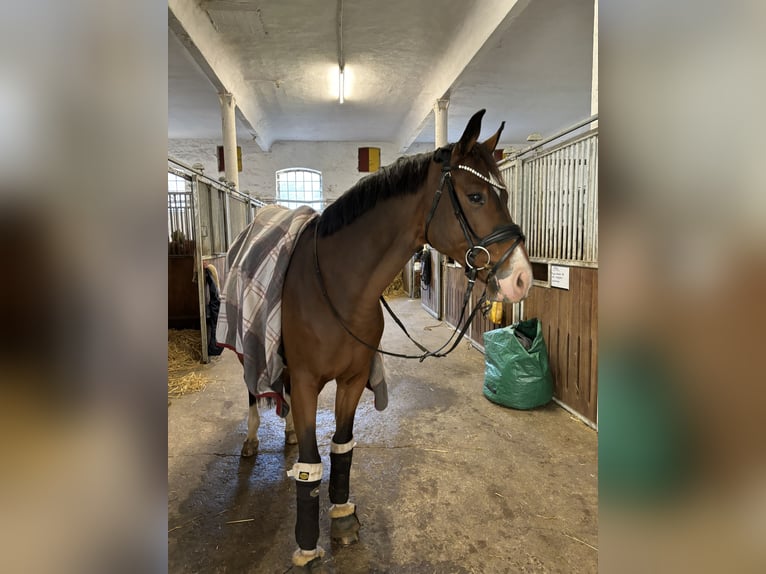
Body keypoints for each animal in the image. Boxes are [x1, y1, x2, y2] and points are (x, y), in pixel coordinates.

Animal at [276, 109, 536, 572]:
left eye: (504, 194)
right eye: (476, 197)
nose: (522, 278)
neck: (336, 287)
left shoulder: (353, 379)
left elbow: (342, 447)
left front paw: (342, 518)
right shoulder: (307, 381)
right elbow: (311, 465)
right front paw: (306, 546)